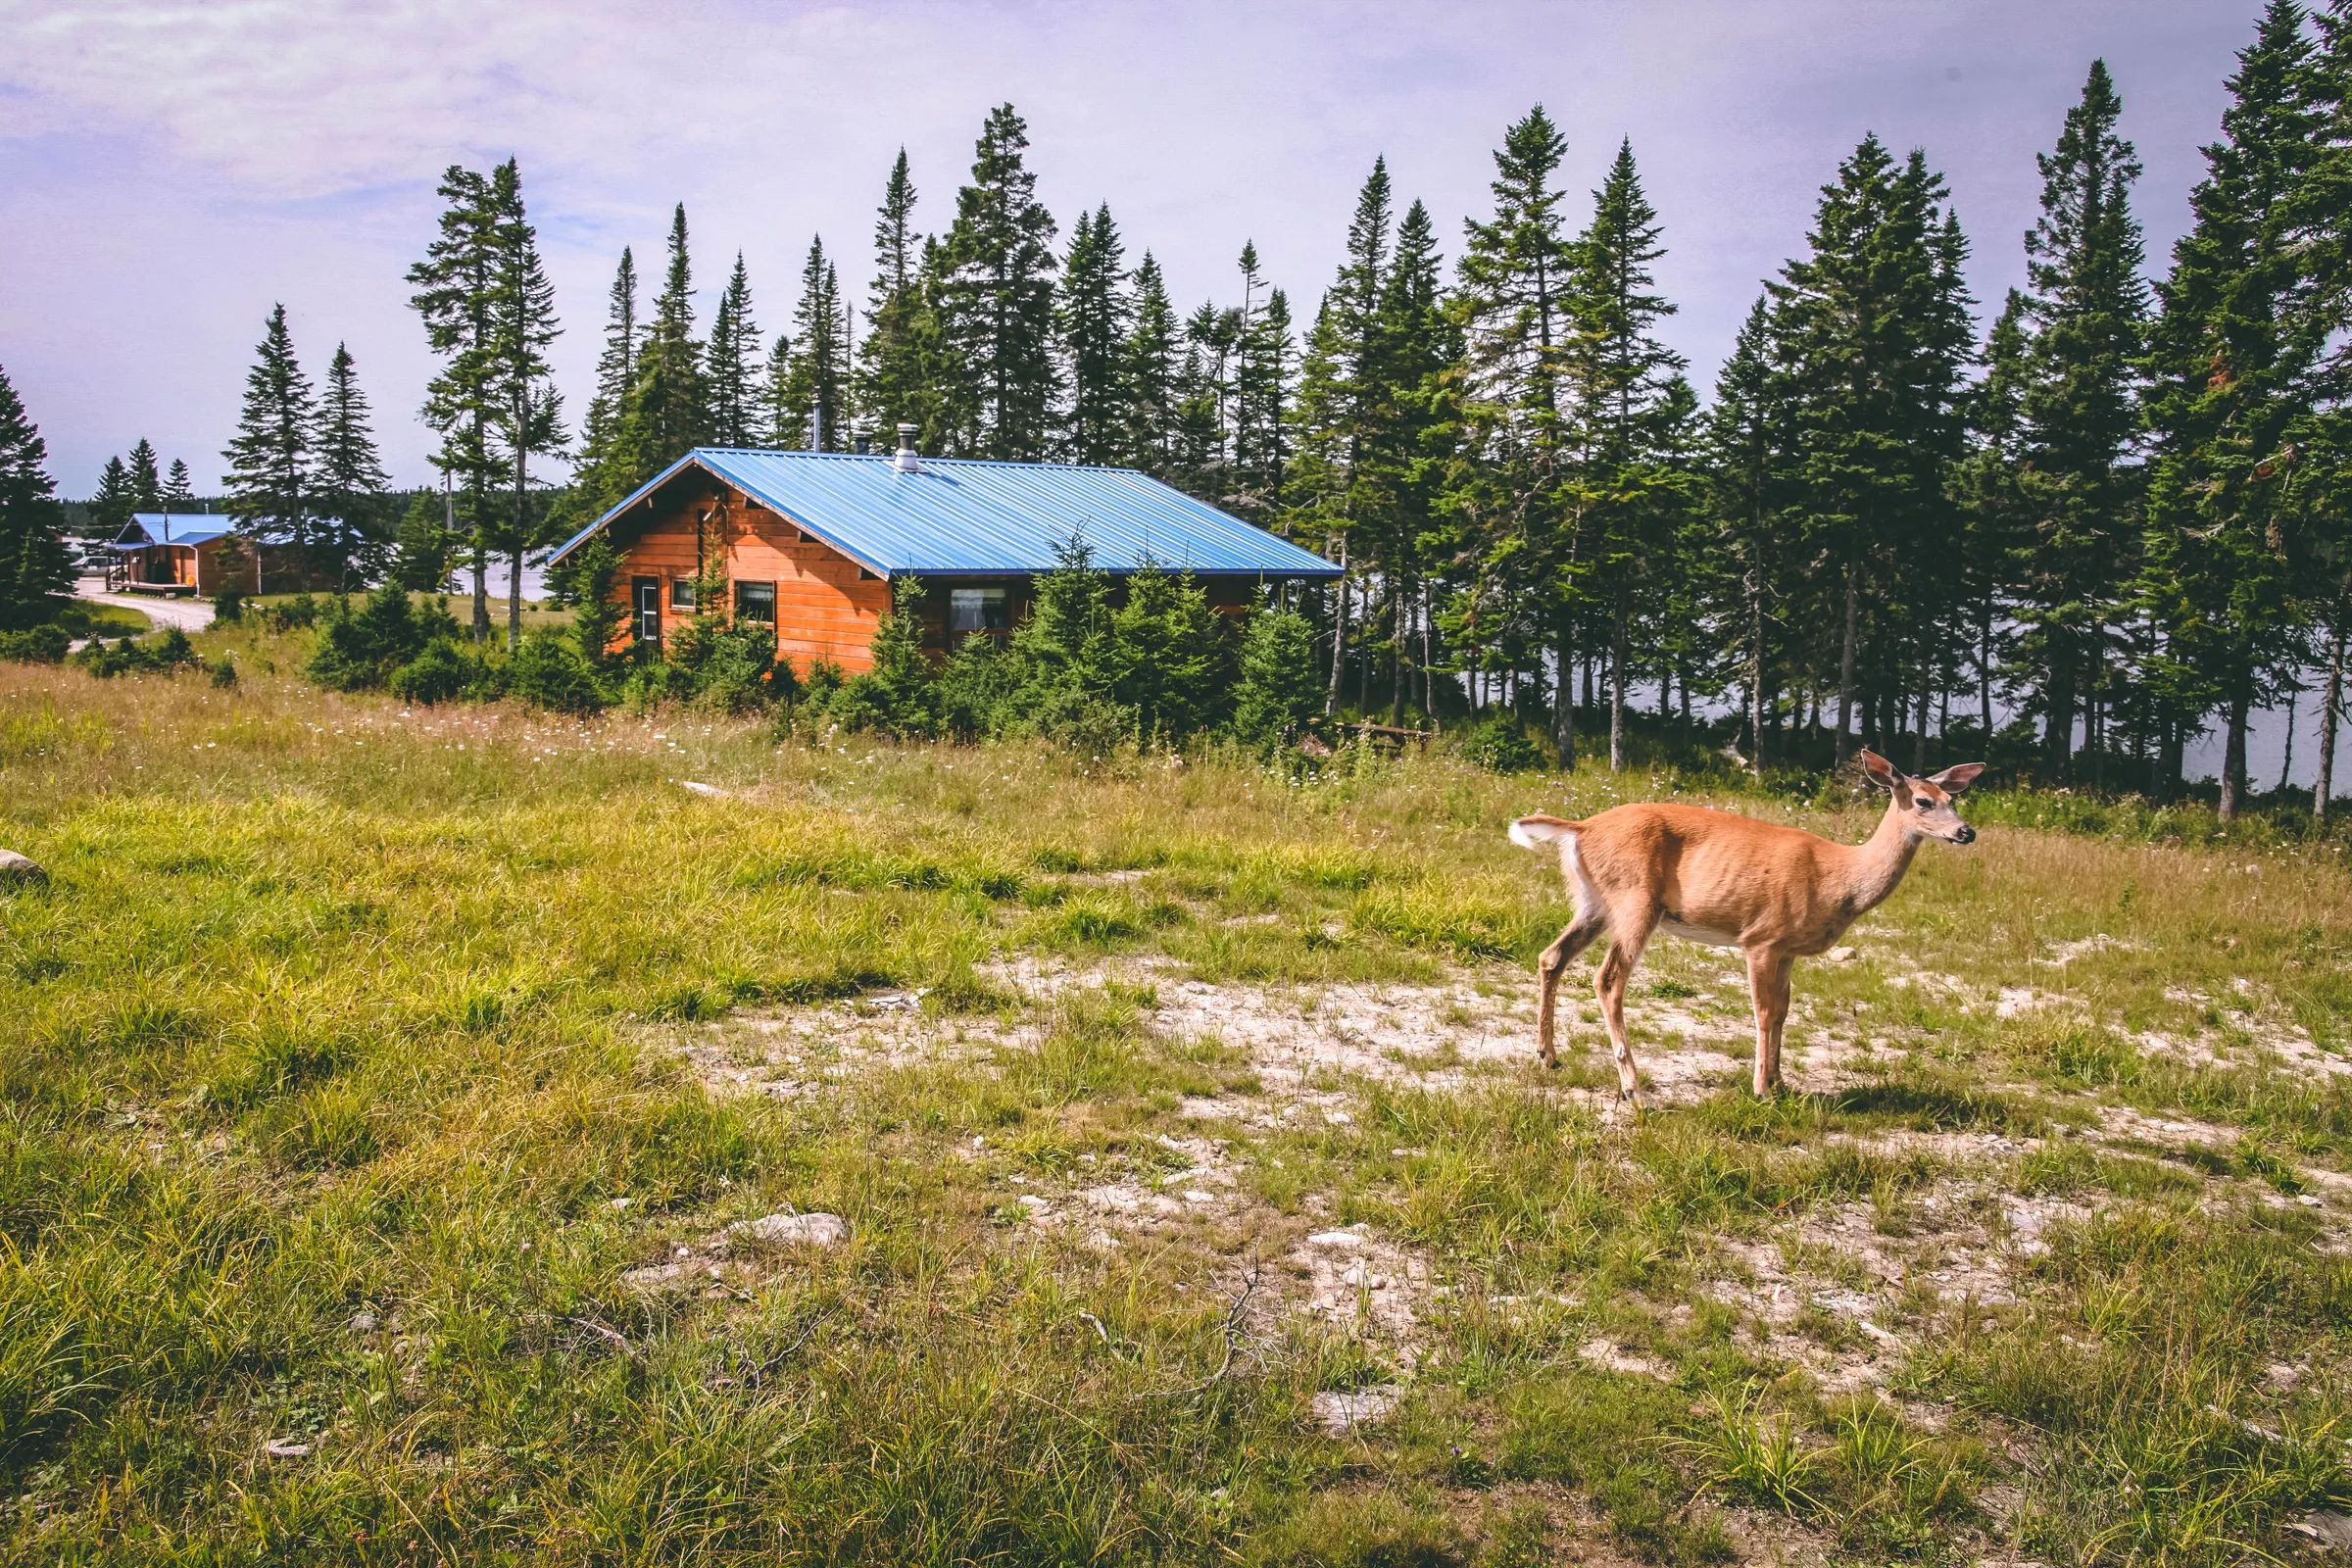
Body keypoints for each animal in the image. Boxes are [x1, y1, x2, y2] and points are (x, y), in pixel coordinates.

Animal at [1507, 750, 1983, 1104]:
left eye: (1953, 798)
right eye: (1923, 801)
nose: (1967, 832)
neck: (1841, 879)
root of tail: (1581, 828)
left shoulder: (1789, 949)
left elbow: (1785, 1011)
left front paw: (1781, 1083)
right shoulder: (1761, 938)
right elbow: (1764, 1011)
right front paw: (1760, 1090)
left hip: (1594, 901)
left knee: (1552, 956)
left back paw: (1548, 1055)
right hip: (1634, 899)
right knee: (1607, 980)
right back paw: (1634, 1090)